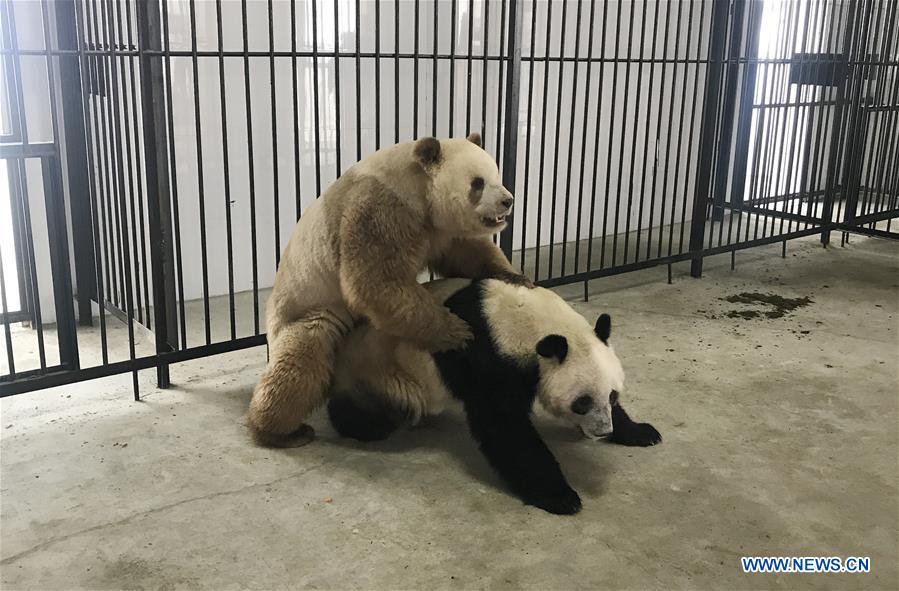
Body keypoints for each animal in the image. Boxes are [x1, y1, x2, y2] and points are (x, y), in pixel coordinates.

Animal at [246, 134, 532, 448]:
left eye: (496, 174)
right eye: (477, 183)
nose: (507, 201)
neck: (418, 185)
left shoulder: (440, 230)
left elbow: (468, 253)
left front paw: (517, 278)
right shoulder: (380, 209)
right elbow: (376, 281)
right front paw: (456, 332)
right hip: (309, 307)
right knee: (303, 360)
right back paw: (280, 431)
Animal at [326, 278, 660, 512]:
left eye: (612, 396)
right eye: (582, 403)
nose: (603, 431)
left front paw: (641, 432)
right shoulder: (490, 359)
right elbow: (505, 427)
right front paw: (560, 496)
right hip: (379, 372)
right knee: (358, 406)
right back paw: (367, 426)